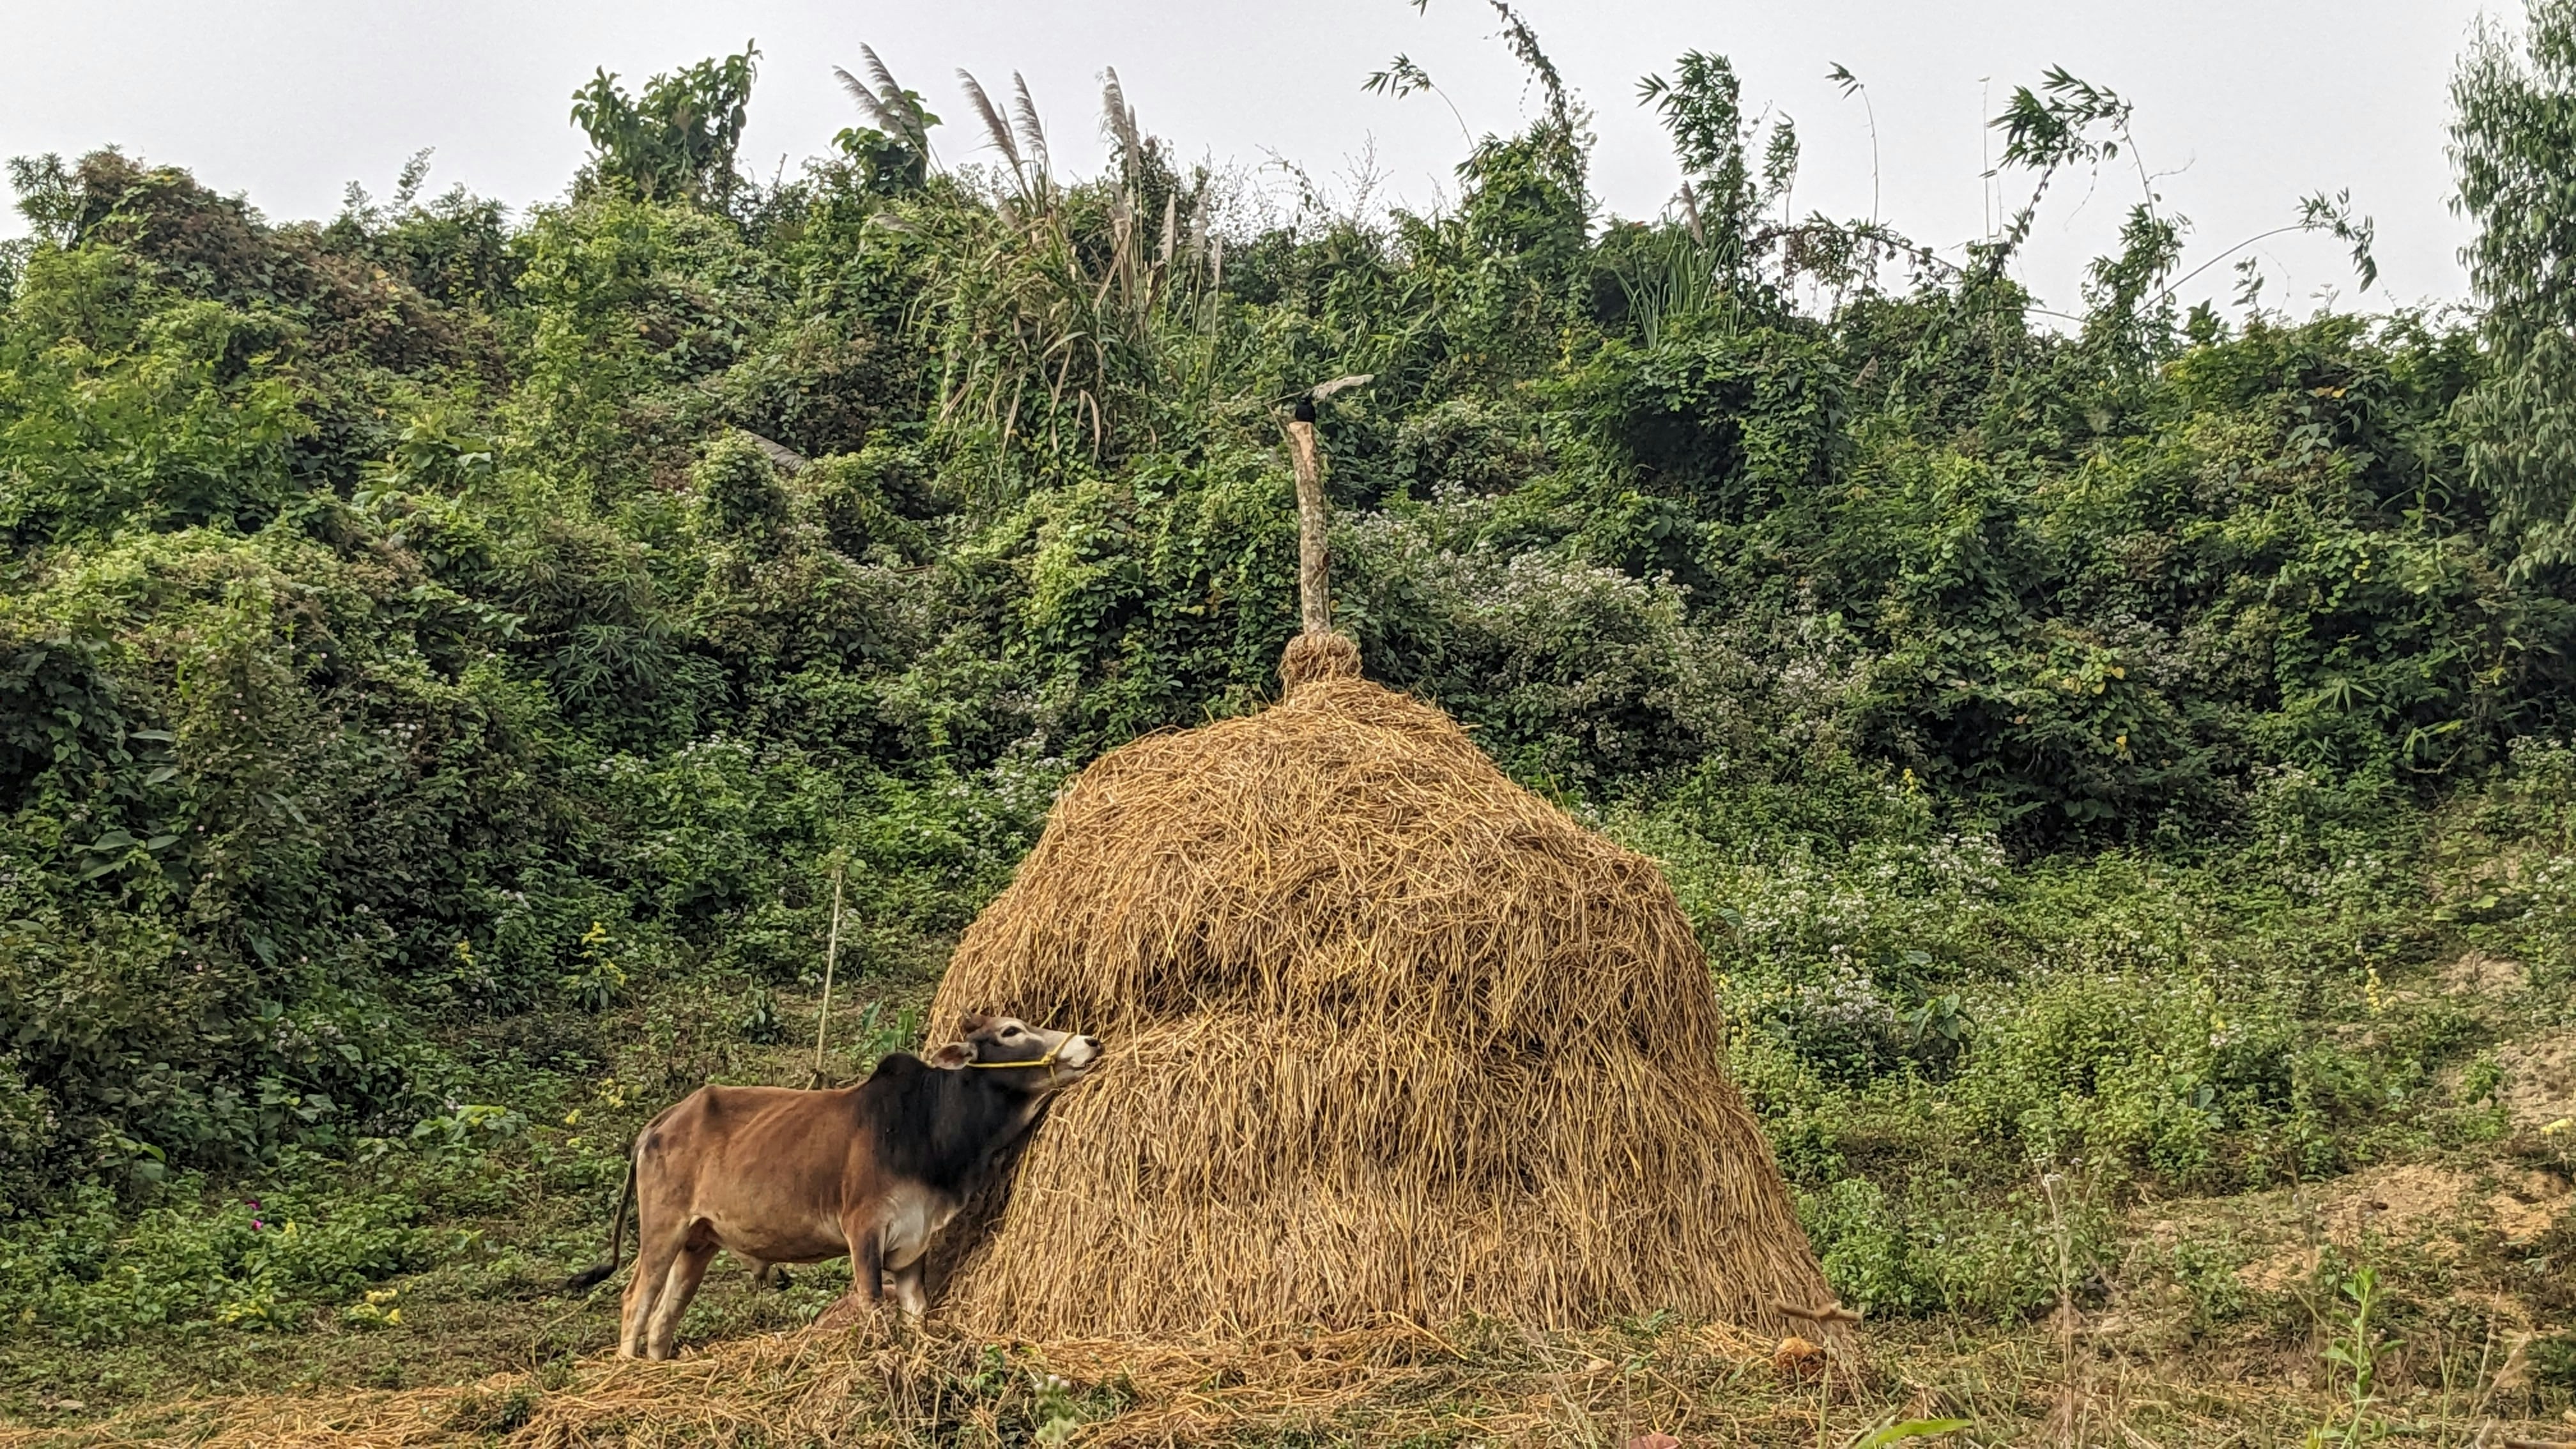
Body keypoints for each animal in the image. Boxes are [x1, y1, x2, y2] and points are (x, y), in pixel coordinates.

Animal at [564, 1014, 1101, 1359]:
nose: (1090, 1042)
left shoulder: (914, 1245)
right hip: (663, 1230)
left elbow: (916, 1317)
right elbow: (874, 1309)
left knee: (664, 1318)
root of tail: (661, 1122)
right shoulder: (864, 1232)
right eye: (1011, 1031)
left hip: (699, 1242)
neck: (926, 1126)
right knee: (636, 1301)